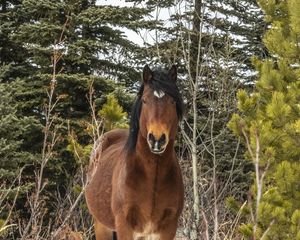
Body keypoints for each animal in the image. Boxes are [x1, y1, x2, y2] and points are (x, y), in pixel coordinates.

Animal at [85, 65, 185, 240]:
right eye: (145, 100)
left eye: (172, 101)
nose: (157, 139)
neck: (153, 176)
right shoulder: (125, 226)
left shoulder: (167, 228)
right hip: (101, 225)